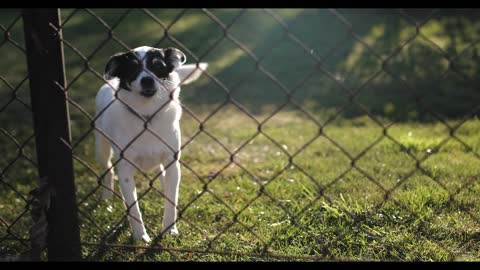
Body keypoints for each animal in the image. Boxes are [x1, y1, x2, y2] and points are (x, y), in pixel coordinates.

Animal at [93, 45, 206, 242]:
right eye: (132, 68)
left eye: (158, 66)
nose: (147, 80)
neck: (147, 115)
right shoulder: (125, 169)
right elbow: (133, 208)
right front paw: (140, 236)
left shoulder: (172, 163)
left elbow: (171, 199)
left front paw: (169, 229)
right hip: (101, 147)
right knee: (108, 171)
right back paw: (107, 199)